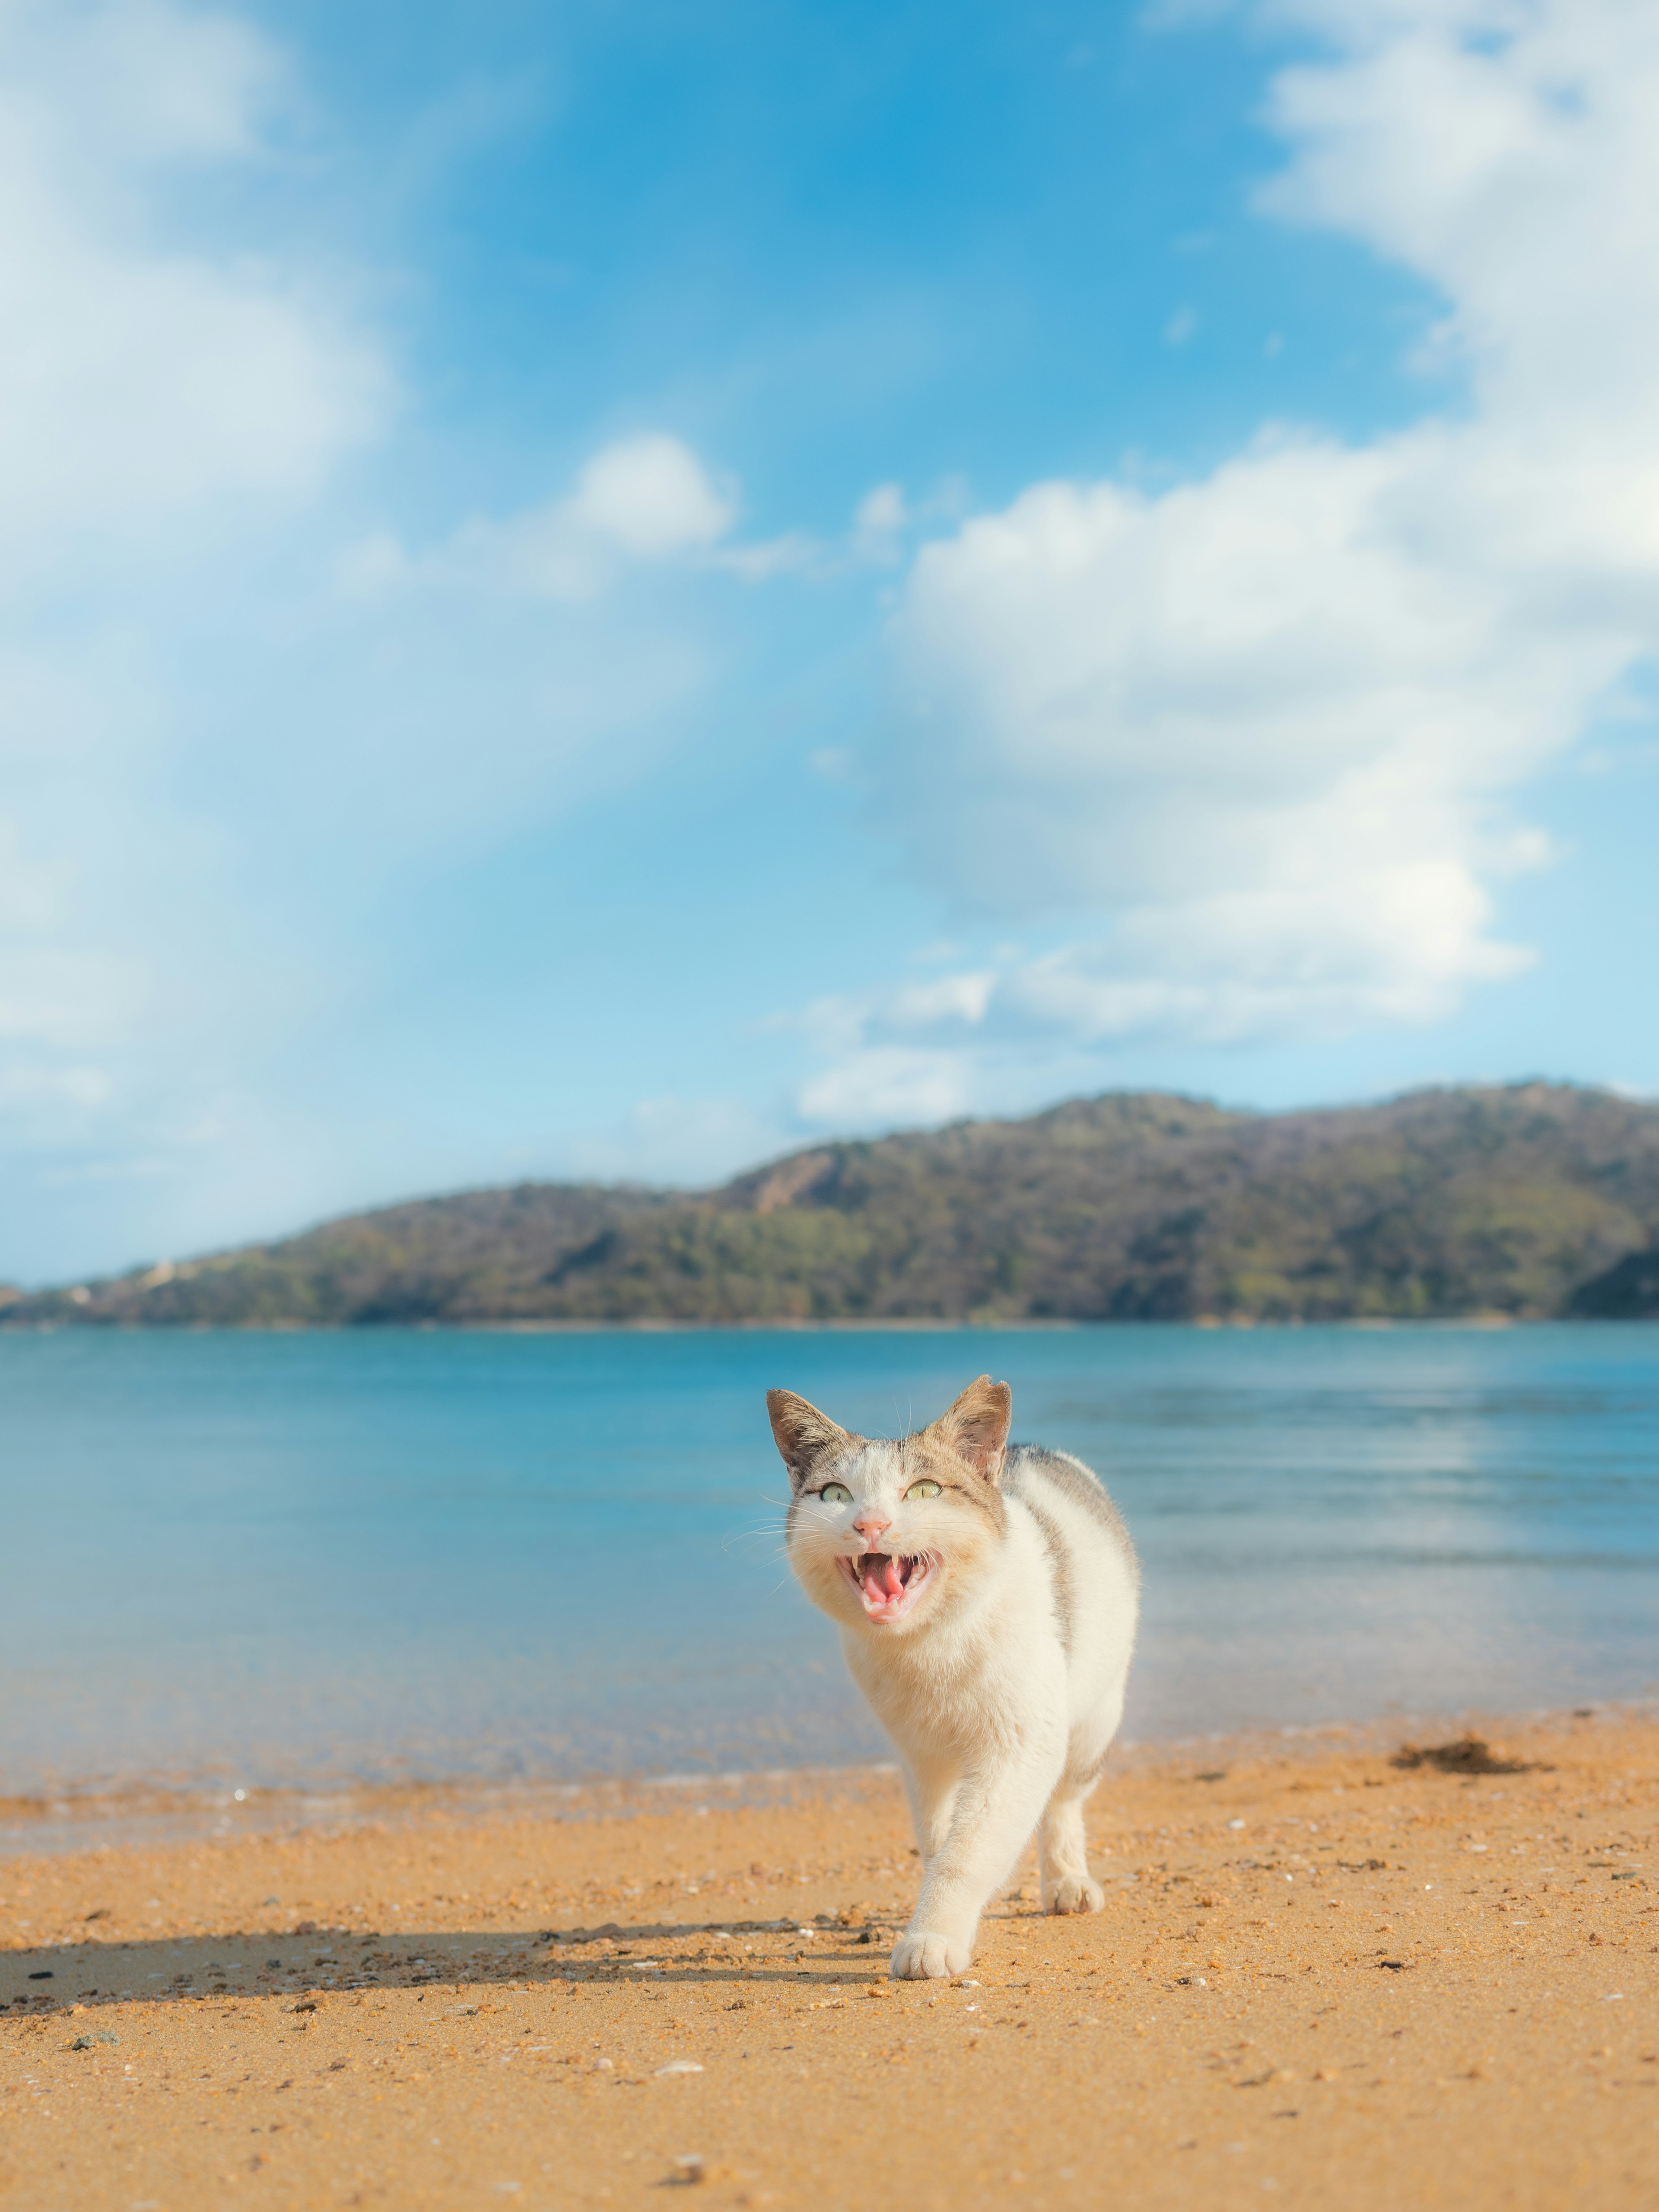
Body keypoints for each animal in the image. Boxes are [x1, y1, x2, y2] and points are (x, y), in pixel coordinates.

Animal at [769, 1371, 1141, 1982]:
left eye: (923, 1490)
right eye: (835, 1495)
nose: (870, 1523)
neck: (929, 1645)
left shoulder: (1019, 1746)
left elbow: (968, 1851)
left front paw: (933, 1937)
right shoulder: (922, 1756)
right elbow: (941, 1842)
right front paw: (947, 1919)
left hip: (1094, 1718)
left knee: (1065, 1799)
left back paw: (1067, 1880)